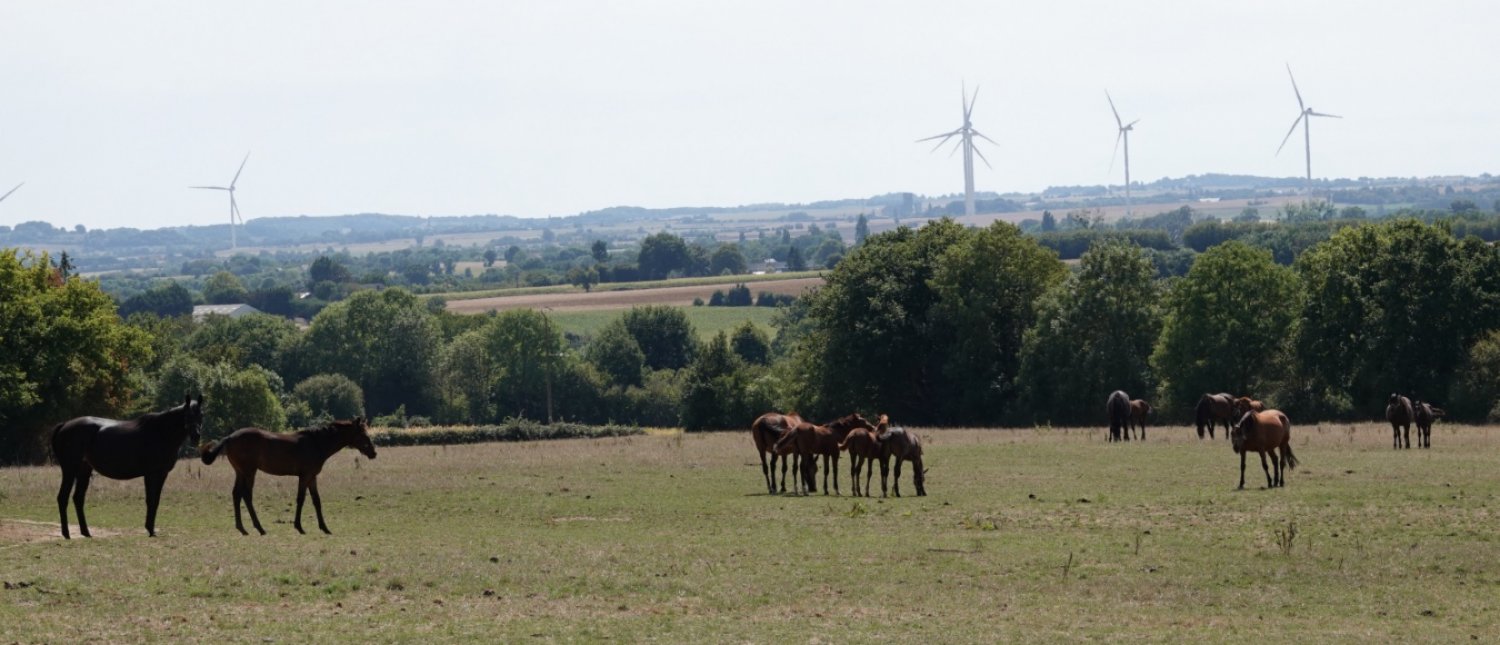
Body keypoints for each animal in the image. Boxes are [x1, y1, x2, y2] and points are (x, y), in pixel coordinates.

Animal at [51, 394, 205, 539]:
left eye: (201, 415)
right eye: (187, 415)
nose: (196, 436)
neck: (161, 433)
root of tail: (64, 425)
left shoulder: (162, 474)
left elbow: (156, 501)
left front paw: (152, 529)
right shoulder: (150, 474)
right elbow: (150, 500)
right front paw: (150, 529)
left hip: (84, 470)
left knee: (78, 498)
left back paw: (86, 532)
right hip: (69, 470)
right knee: (62, 498)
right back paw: (66, 534)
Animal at [200, 417, 377, 535]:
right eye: (363, 434)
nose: (373, 453)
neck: (317, 443)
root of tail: (229, 437)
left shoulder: (312, 477)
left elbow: (316, 501)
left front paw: (325, 528)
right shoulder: (304, 476)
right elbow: (301, 499)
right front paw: (299, 527)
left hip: (240, 472)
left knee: (236, 494)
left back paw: (242, 528)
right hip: (249, 471)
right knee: (246, 495)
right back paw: (260, 528)